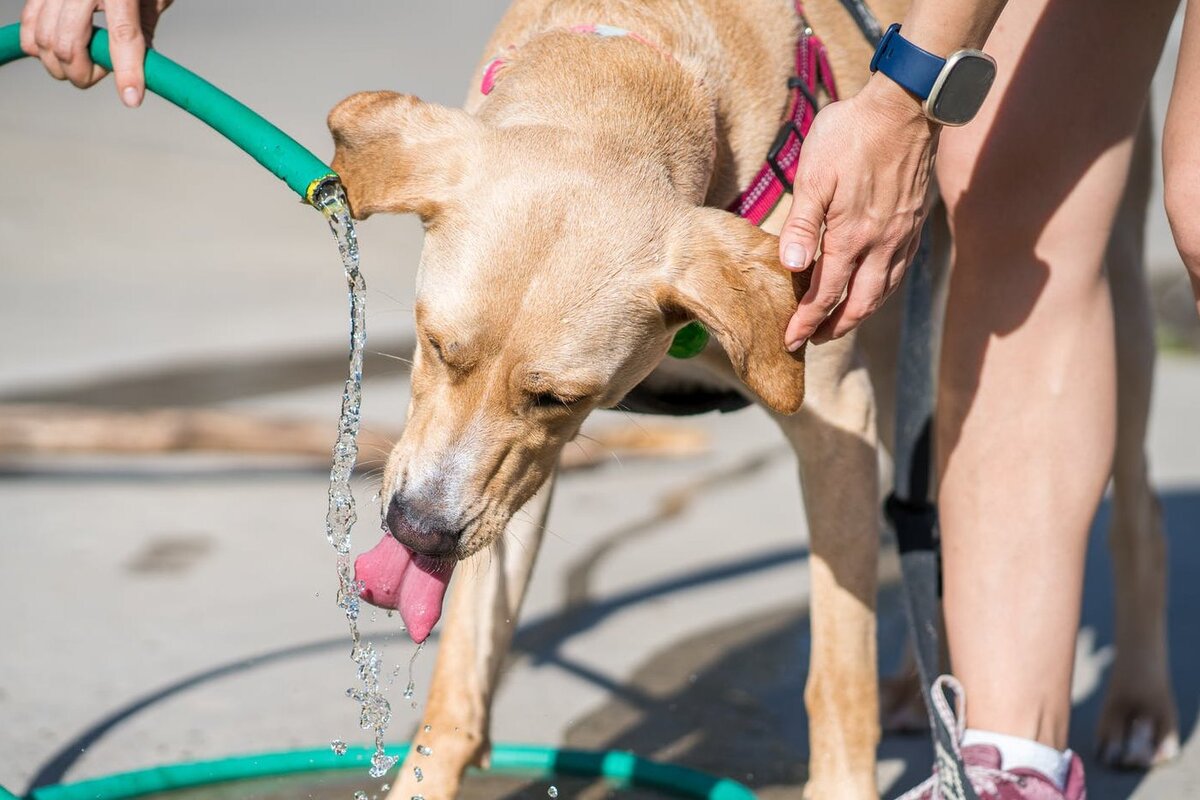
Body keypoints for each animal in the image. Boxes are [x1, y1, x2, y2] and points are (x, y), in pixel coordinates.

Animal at [324, 3, 1176, 796]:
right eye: (436, 345)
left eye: (560, 398)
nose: (417, 530)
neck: (637, 53)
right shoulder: (503, 480)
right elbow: (464, 672)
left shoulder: (835, 425)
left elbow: (837, 677)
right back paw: (922, 691)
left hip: (1093, 282)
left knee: (1133, 499)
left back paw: (1140, 705)